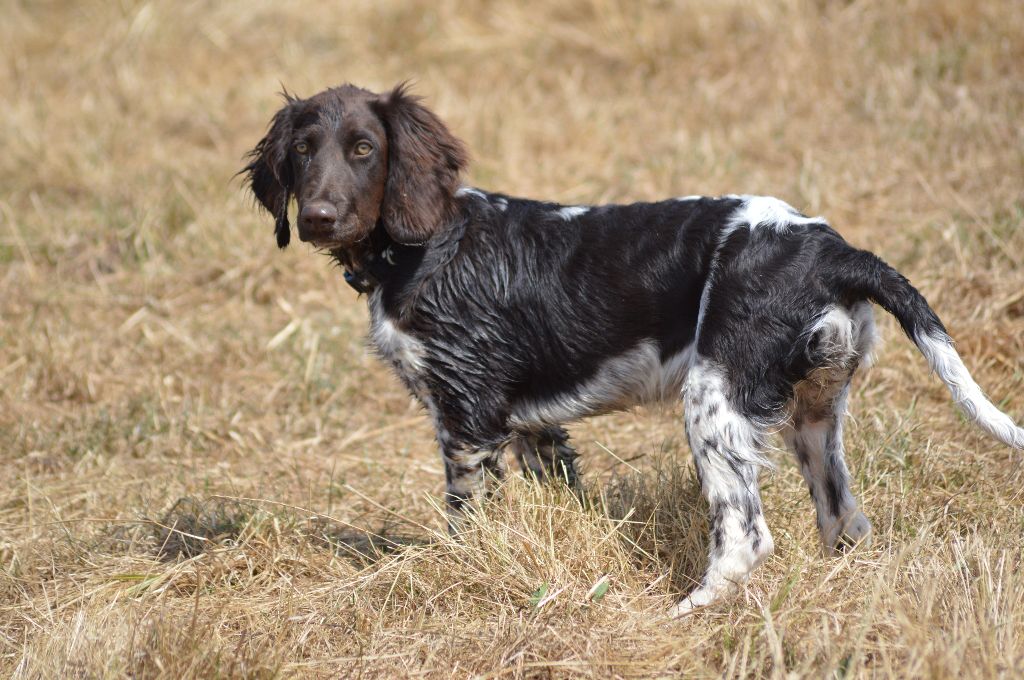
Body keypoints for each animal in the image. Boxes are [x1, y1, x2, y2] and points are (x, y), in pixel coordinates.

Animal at [245, 82, 1024, 614]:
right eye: (303, 151)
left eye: (365, 149)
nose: (318, 217)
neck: (422, 245)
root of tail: (835, 249)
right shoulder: (528, 426)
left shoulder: (468, 415)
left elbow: (467, 521)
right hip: (813, 411)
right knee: (844, 519)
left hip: (715, 397)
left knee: (745, 536)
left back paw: (687, 613)